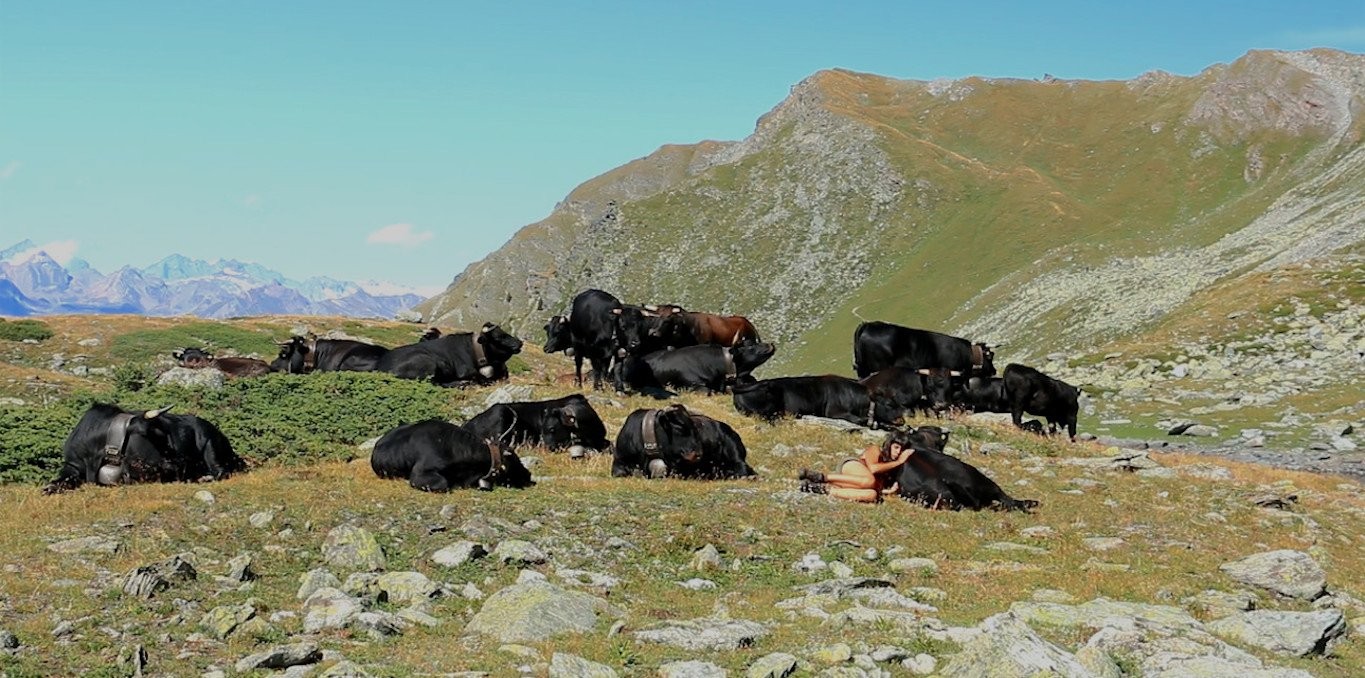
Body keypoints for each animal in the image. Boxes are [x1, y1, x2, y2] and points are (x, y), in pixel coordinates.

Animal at [42, 404, 244, 494]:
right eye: (157, 435)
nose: (181, 465)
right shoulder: (72, 465)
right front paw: (49, 488)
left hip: (210, 445)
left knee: (220, 472)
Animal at [375, 323, 523, 386]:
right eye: (499, 337)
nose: (520, 342)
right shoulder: (464, 370)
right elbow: (479, 377)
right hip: (428, 363)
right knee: (435, 383)